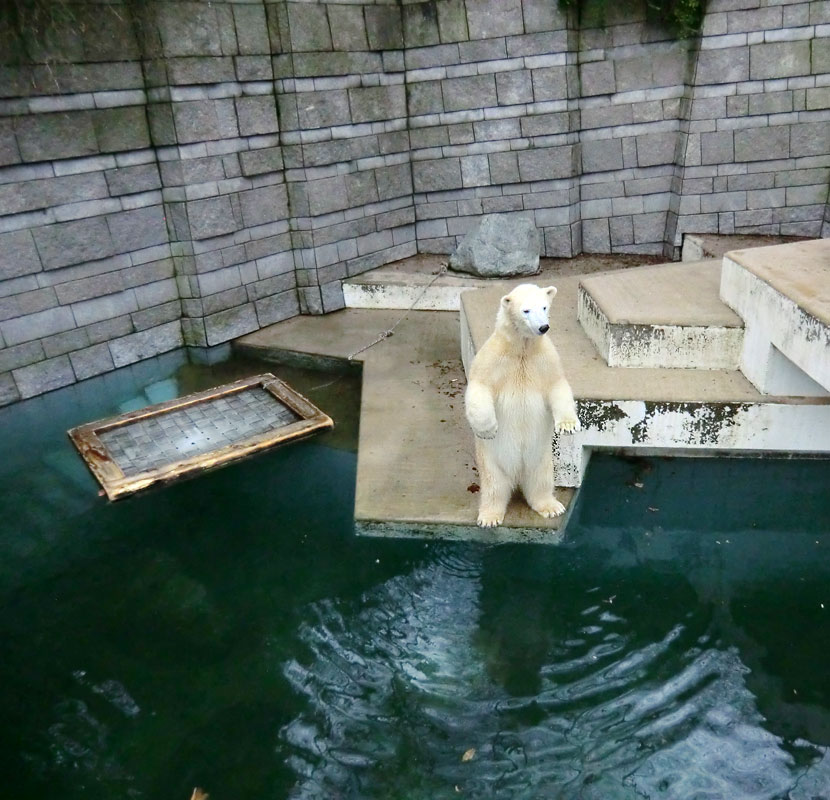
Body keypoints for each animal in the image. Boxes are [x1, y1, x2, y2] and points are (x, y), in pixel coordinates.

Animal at [464, 284, 580, 528]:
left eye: (544, 307)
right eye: (526, 310)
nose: (543, 326)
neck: (522, 348)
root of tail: (517, 478)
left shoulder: (545, 359)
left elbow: (558, 385)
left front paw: (568, 426)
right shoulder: (492, 359)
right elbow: (479, 387)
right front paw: (488, 429)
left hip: (542, 459)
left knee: (541, 482)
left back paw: (551, 507)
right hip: (492, 461)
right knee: (494, 487)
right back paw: (489, 516)